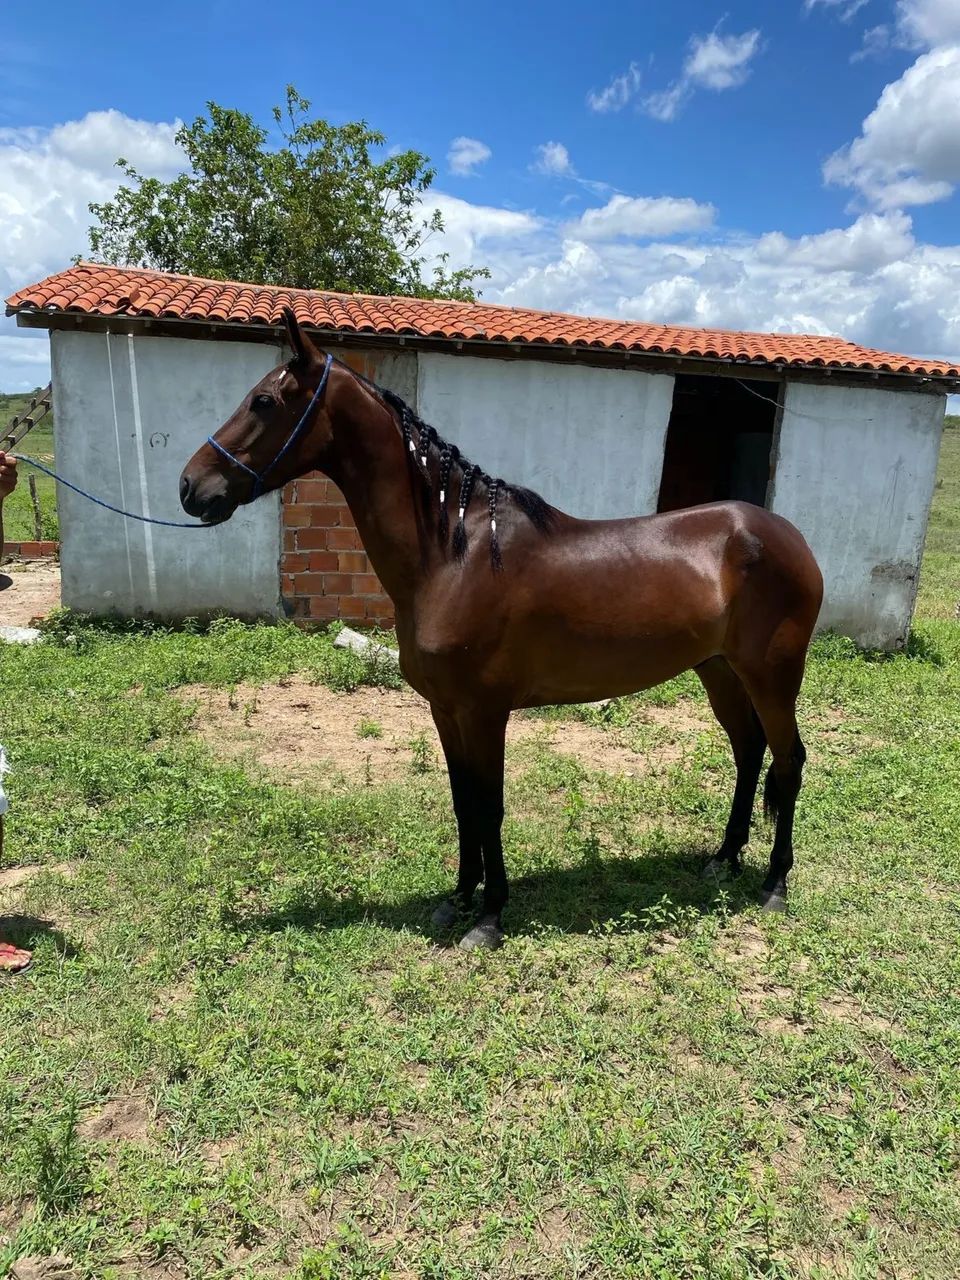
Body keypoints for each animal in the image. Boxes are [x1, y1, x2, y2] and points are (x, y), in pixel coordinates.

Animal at [180, 309, 824, 951]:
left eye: (263, 401)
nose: (190, 487)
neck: (454, 555)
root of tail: (788, 536)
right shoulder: (445, 709)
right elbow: (464, 803)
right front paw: (457, 899)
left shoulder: (486, 712)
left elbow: (489, 807)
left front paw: (488, 919)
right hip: (719, 670)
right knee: (749, 751)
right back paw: (724, 858)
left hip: (772, 675)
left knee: (788, 760)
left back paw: (774, 884)